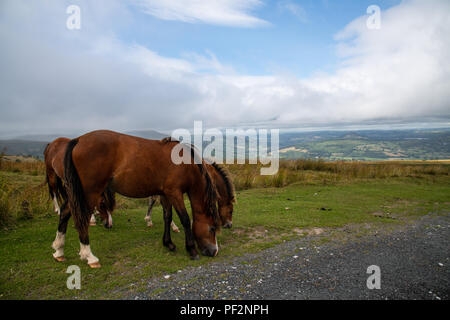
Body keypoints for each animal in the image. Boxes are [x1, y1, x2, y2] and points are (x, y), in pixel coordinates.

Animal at [54, 130, 221, 268]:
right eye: (213, 228)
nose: (214, 252)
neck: (185, 164)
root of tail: (78, 140)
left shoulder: (165, 194)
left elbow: (167, 217)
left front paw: (168, 243)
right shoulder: (175, 193)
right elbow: (185, 219)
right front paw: (191, 250)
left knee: (65, 212)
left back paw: (59, 250)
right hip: (89, 193)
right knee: (81, 219)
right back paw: (89, 256)